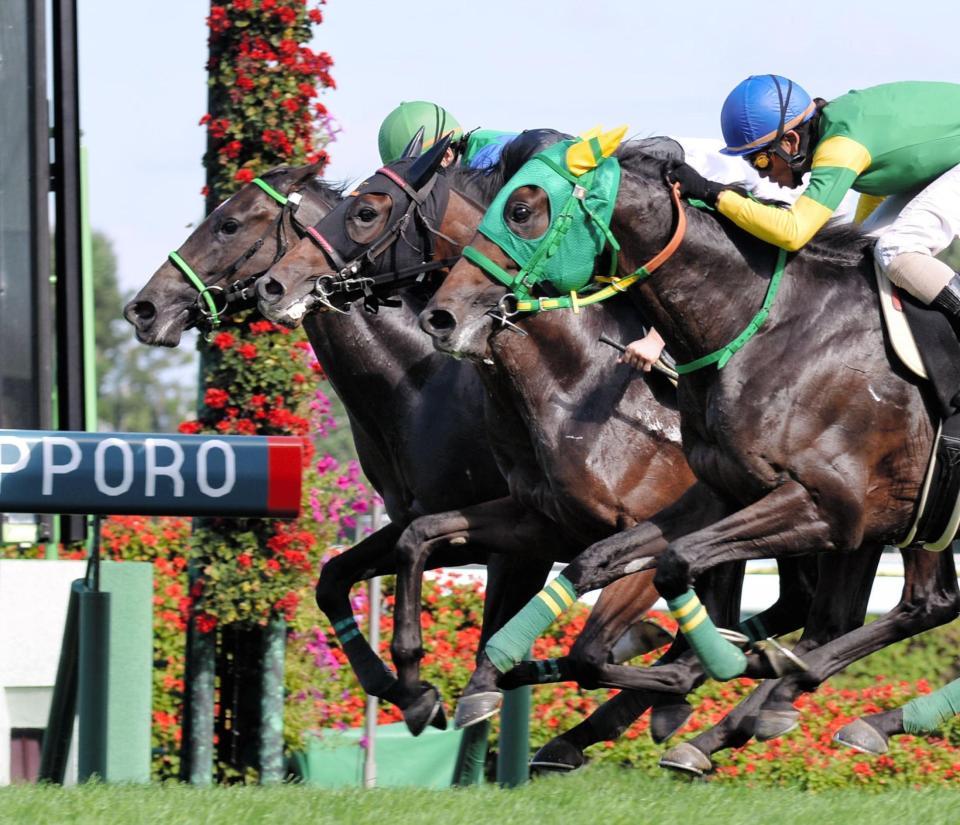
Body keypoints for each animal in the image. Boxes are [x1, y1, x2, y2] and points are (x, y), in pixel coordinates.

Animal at [418, 134, 960, 772]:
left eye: (522, 209)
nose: (439, 316)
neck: (761, 327)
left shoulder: (825, 508)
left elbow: (675, 568)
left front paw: (710, 664)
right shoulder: (721, 494)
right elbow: (596, 573)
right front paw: (508, 661)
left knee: (912, 608)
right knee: (915, 605)